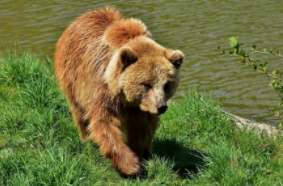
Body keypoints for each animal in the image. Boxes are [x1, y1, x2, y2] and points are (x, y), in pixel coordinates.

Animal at [54, 6, 185, 176]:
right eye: (146, 84)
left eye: (167, 84)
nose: (161, 107)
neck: (126, 98)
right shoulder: (103, 90)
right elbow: (104, 122)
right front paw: (131, 166)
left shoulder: (142, 108)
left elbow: (142, 127)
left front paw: (142, 154)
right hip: (72, 75)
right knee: (79, 112)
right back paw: (86, 139)